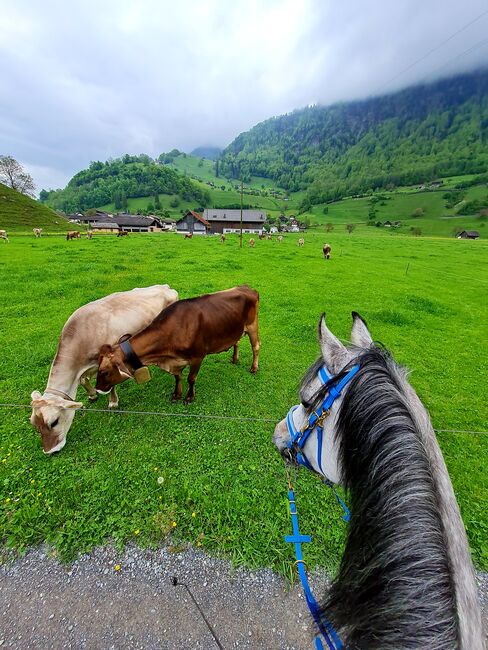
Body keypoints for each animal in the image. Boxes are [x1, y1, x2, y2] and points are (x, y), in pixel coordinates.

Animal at [29, 284, 177, 450]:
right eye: (34, 424)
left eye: (54, 422)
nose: (50, 451)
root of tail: (164, 286)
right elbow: (83, 381)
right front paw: (92, 394)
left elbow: (111, 384)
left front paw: (113, 402)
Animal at [96, 284, 262, 402]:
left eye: (105, 372)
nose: (97, 389)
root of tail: (247, 287)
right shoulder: (175, 360)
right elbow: (177, 377)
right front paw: (177, 394)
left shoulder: (198, 357)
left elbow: (191, 378)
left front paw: (189, 397)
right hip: (236, 328)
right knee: (237, 341)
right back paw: (234, 359)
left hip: (252, 325)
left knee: (256, 346)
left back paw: (254, 368)